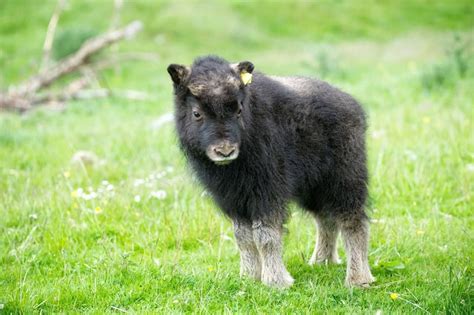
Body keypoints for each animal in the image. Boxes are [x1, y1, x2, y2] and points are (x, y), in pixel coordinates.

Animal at [167, 55, 374, 288]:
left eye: (238, 110)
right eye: (197, 113)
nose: (225, 151)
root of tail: (352, 105)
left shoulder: (267, 194)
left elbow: (265, 236)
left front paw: (276, 281)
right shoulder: (235, 200)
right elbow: (243, 238)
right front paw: (249, 277)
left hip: (345, 179)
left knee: (353, 221)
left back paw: (358, 279)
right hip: (314, 189)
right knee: (326, 220)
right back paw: (321, 262)